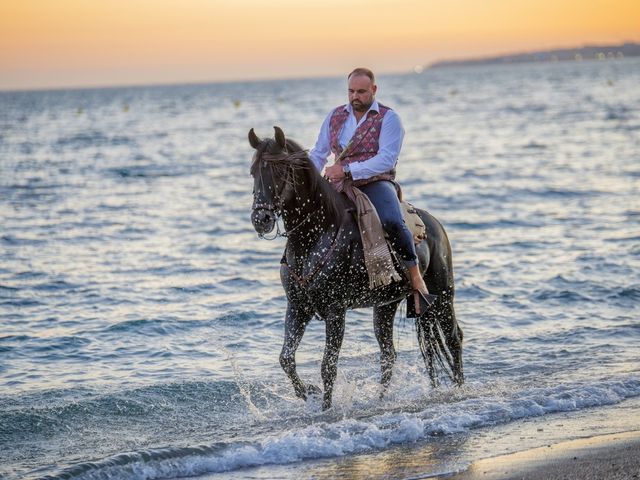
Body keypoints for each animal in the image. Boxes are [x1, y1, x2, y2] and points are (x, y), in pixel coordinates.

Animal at [248, 126, 462, 408]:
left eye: (281, 170)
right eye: (253, 171)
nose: (260, 219)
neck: (316, 235)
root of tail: (435, 225)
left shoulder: (336, 310)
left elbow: (328, 366)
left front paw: (326, 408)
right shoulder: (297, 306)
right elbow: (286, 359)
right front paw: (307, 392)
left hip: (443, 294)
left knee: (453, 338)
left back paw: (460, 388)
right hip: (386, 306)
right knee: (389, 354)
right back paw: (381, 399)